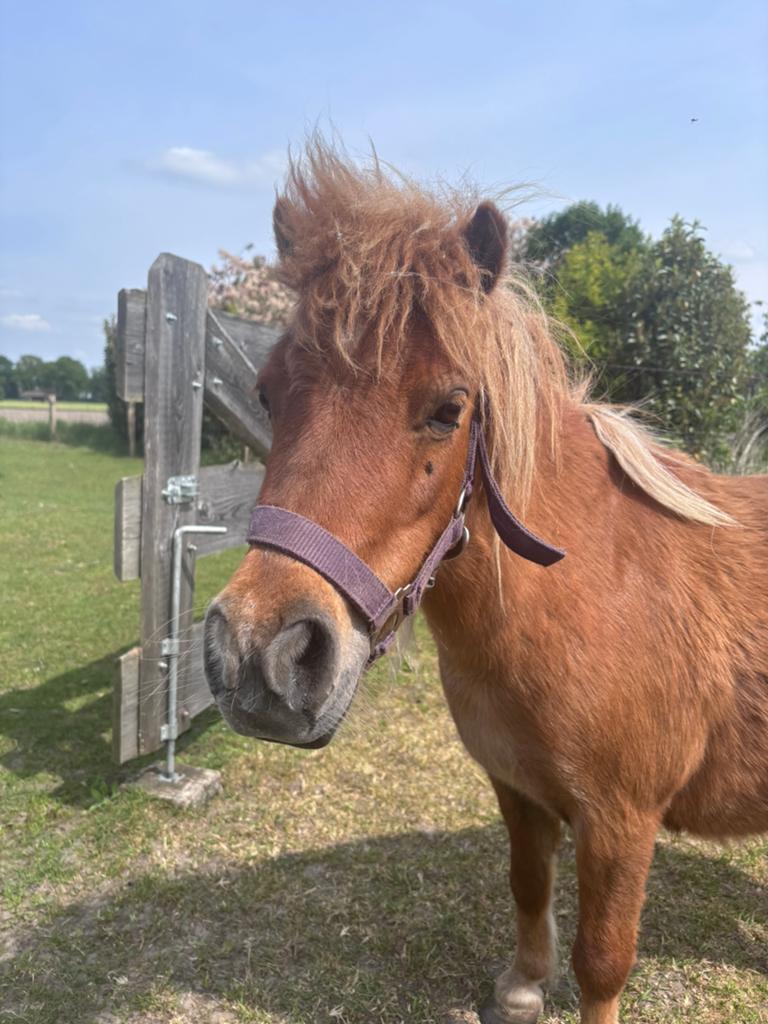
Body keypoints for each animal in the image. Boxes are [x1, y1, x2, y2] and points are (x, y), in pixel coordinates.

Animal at [203, 141, 768, 1024]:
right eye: (267, 392)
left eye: (449, 407)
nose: (261, 656)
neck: (587, 595)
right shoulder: (518, 790)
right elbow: (527, 884)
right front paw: (524, 986)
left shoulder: (620, 822)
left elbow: (603, 961)